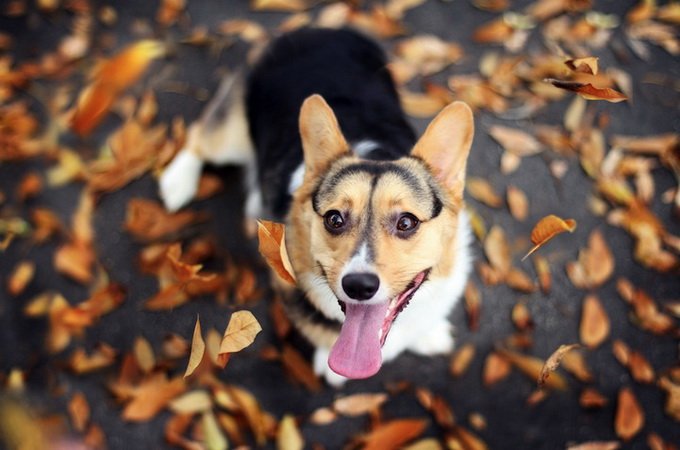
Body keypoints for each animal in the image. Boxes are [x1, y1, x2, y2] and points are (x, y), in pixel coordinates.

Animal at [162, 28, 476, 384]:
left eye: (407, 222)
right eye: (334, 219)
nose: (358, 286)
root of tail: (312, 30)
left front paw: (429, 335)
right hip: (231, 136)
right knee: (198, 137)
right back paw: (178, 182)